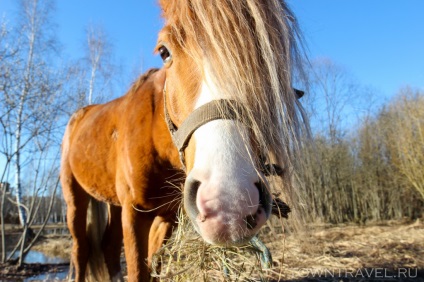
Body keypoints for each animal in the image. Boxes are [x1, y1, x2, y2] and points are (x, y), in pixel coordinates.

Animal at [59, 0, 304, 280]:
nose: (229, 203)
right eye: (164, 52)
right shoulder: (134, 215)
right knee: (81, 249)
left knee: (108, 247)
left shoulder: (167, 218)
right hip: (75, 199)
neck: (155, 141)